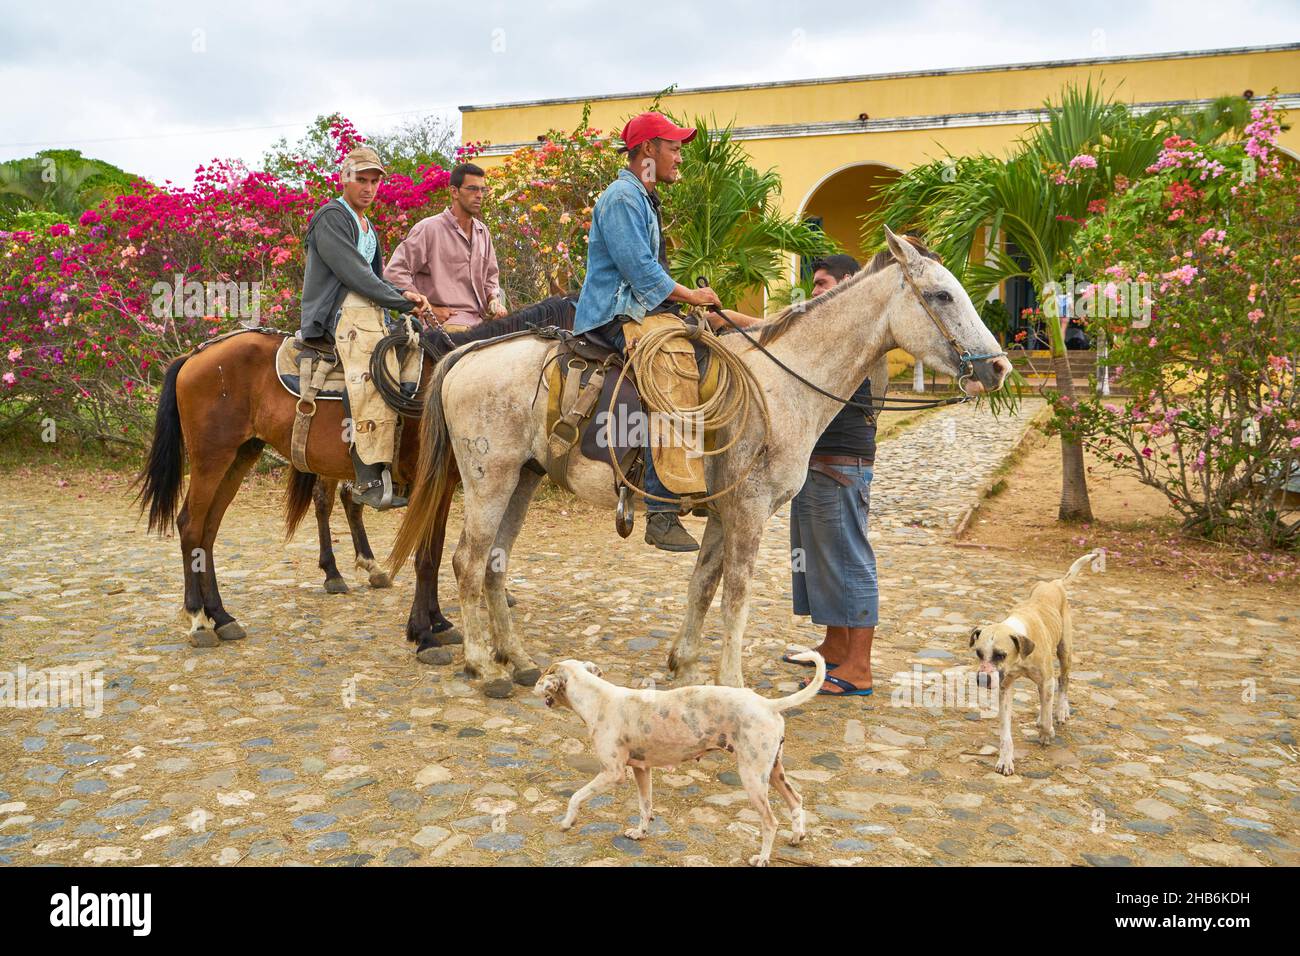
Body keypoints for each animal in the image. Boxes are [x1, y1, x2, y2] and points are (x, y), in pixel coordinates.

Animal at [134, 299, 577, 665]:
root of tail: (195, 356)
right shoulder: (429, 485)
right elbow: (425, 556)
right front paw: (424, 635)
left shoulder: (445, 484)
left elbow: (433, 553)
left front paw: (438, 623)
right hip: (213, 458)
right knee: (191, 525)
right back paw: (198, 619)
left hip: (241, 456)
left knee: (209, 531)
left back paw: (223, 616)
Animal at [533, 650, 826, 868]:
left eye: (546, 672)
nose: (534, 683)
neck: (598, 699)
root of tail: (767, 703)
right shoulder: (642, 770)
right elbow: (645, 806)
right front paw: (640, 833)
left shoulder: (612, 773)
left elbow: (576, 796)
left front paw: (566, 822)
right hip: (774, 772)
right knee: (796, 800)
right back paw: (797, 836)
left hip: (753, 778)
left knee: (770, 822)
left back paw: (763, 858)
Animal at [972, 554, 1102, 780]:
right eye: (979, 653)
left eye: (1000, 655)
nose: (982, 679)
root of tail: (1054, 583)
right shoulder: (1005, 687)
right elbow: (1005, 733)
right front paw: (1005, 760)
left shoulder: (1046, 680)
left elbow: (1047, 715)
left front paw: (1046, 732)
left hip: (1065, 651)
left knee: (1063, 681)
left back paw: (1061, 710)